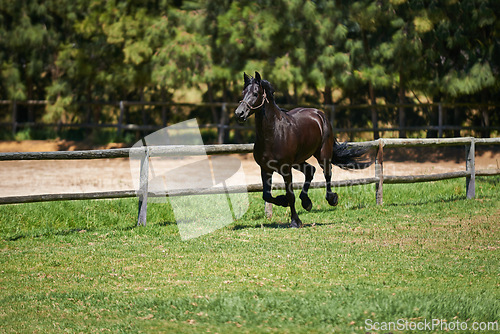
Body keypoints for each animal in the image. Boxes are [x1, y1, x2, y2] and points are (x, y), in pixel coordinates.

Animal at [235, 70, 372, 227]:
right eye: (243, 92)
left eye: (255, 93)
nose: (239, 114)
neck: (274, 134)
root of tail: (319, 114)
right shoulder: (265, 169)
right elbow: (267, 195)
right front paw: (283, 201)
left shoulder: (285, 169)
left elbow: (290, 195)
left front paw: (295, 221)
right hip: (298, 161)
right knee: (310, 171)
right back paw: (307, 202)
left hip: (322, 154)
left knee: (327, 172)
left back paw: (332, 199)